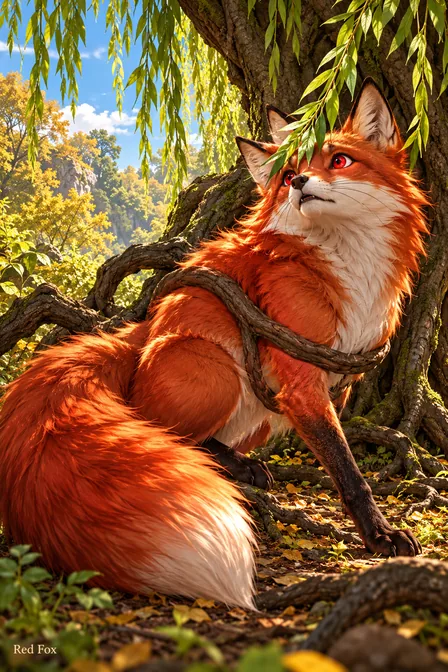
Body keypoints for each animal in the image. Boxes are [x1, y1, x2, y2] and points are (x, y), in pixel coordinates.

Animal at [0, 79, 428, 609]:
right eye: (289, 175)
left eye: (340, 160)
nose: (301, 184)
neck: (349, 270)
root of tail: (140, 333)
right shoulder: (299, 377)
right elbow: (349, 473)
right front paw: (380, 534)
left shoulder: (340, 382)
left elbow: (336, 454)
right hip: (219, 369)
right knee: (158, 429)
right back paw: (226, 465)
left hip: (262, 414)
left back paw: (239, 463)